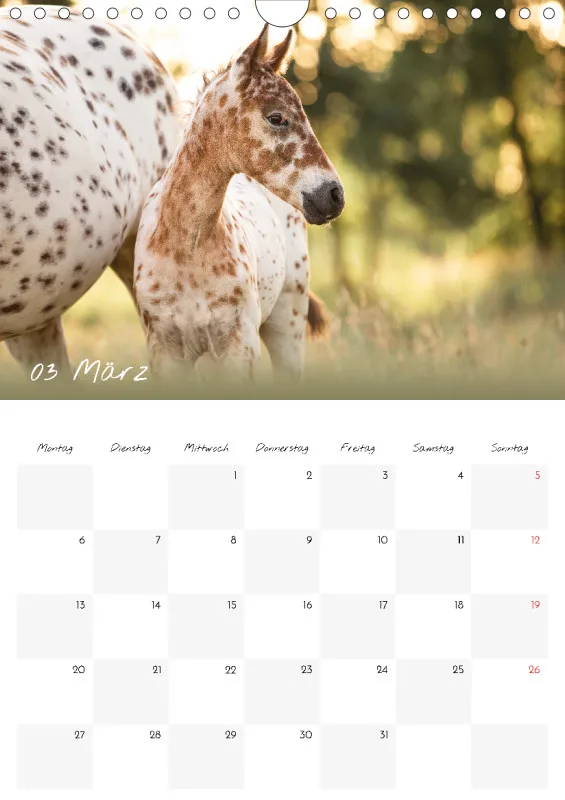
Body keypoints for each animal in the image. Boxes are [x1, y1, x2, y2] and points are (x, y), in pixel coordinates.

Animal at [134, 24, 344, 381]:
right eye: (276, 117)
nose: (334, 195)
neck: (186, 252)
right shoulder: (165, 351)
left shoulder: (239, 347)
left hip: (287, 324)